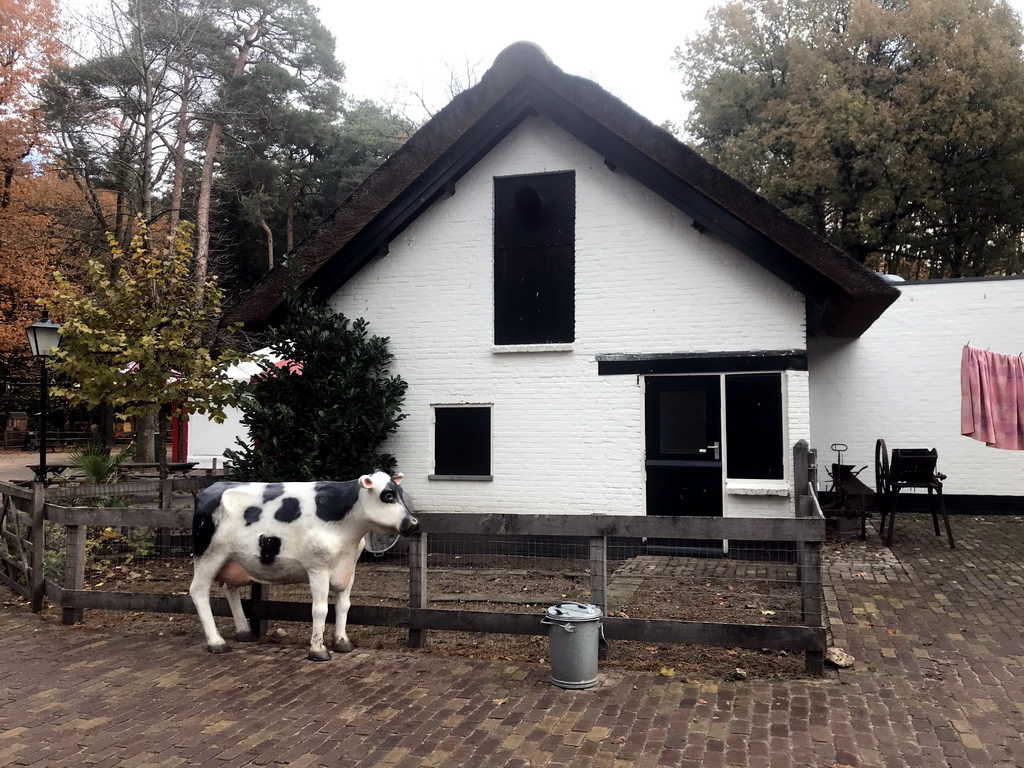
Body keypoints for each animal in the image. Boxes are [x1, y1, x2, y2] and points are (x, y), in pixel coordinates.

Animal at [190, 468, 417, 663]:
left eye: (400, 493)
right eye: (387, 495)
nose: (413, 523)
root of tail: (209, 489)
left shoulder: (348, 568)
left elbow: (344, 606)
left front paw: (343, 642)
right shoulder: (318, 569)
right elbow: (320, 609)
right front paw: (318, 650)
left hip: (233, 561)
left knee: (230, 590)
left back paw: (245, 633)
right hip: (208, 557)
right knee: (198, 592)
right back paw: (217, 642)